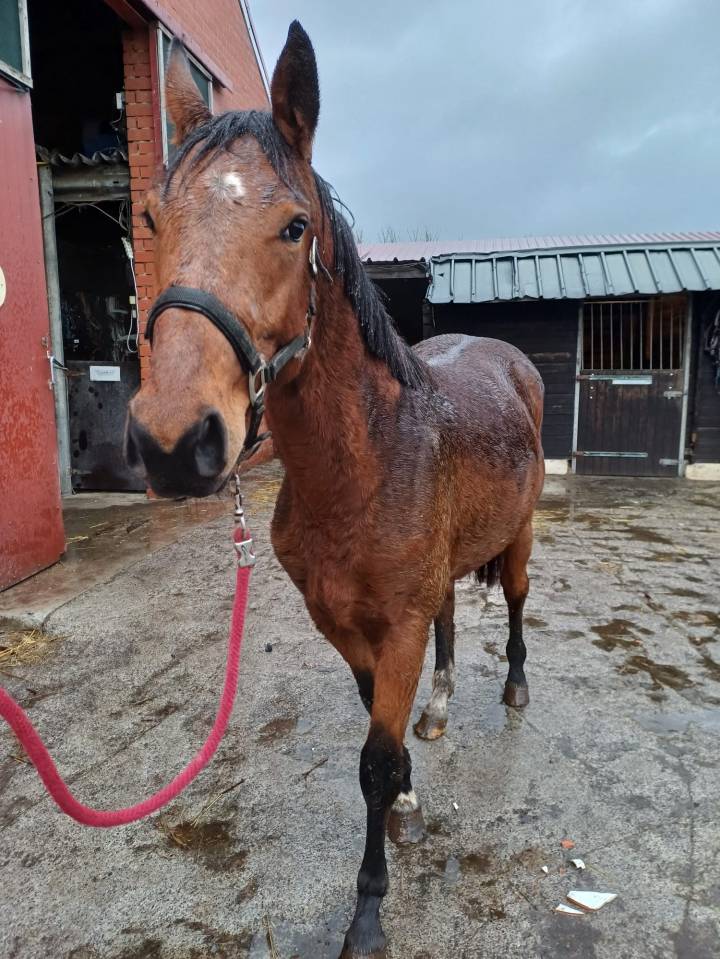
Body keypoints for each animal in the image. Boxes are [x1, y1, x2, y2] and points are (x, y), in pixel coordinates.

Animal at [126, 22, 545, 959]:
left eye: (293, 226)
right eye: (151, 218)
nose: (173, 442)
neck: (362, 465)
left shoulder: (396, 626)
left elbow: (371, 763)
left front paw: (368, 911)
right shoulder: (345, 625)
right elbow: (378, 736)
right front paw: (412, 797)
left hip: (523, 536)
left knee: (516, 603)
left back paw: (513, 687)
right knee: (454, 619)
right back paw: (440, 706)